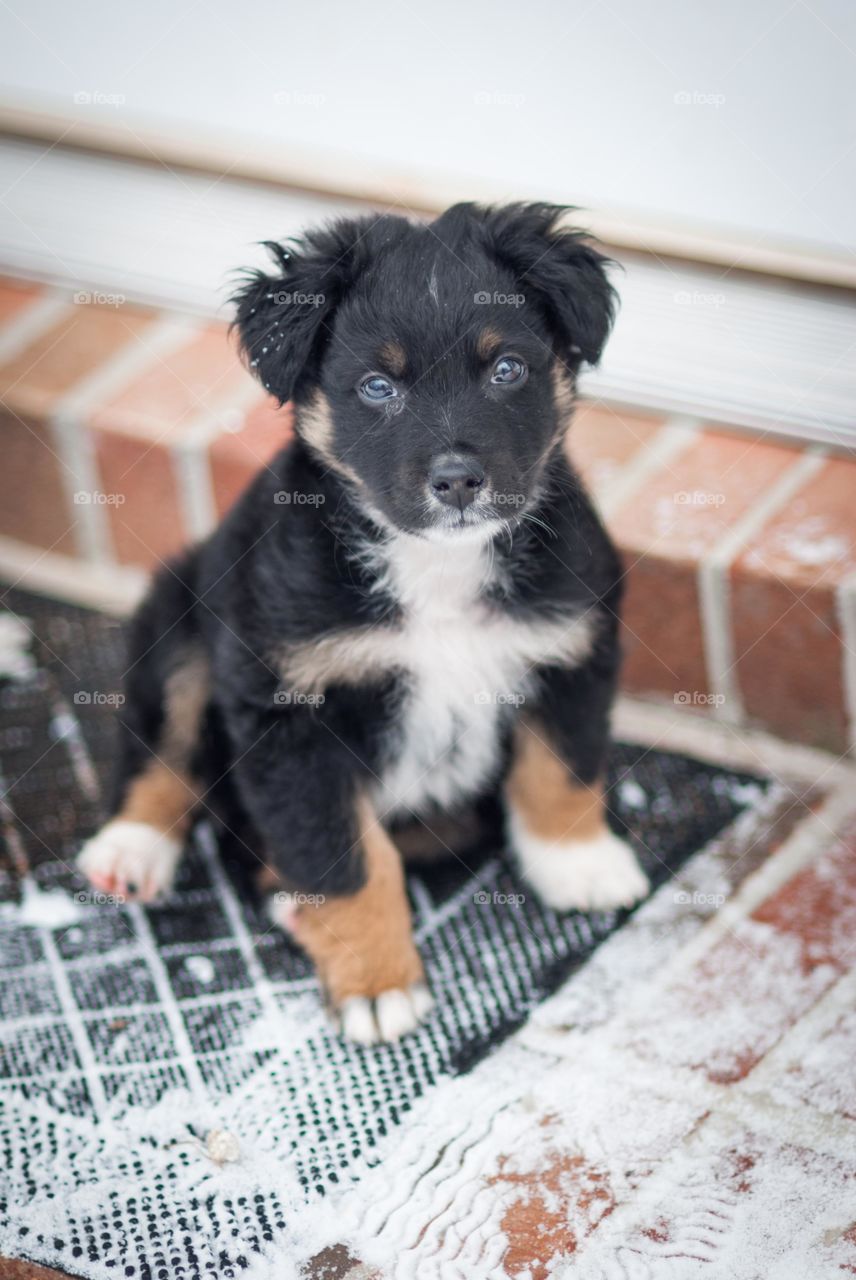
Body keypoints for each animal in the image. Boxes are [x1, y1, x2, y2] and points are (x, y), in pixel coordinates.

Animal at [78, 199, 647, 1039]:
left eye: (507, 369)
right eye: (377, 386)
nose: (457, 481)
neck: (435, 569)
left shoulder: (571, 642)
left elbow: (560, 768)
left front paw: (577, 862)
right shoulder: (290, 712)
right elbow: (344, 857)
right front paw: (377, 985)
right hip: (182, 614)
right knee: (164, 747)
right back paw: (131, 851)